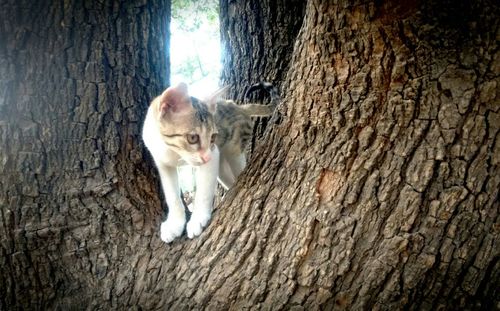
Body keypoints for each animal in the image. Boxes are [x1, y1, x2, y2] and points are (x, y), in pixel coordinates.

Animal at [143, 82, 280, 244]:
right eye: (193, 138)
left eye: (213, 137)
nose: (206, 158)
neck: (172, 151)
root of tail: (238, 107)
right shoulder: (163, 164)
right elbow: (172, 196)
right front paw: (175, 224)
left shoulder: (213, 154)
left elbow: (203, 191)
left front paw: (197, 220)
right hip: (222, 168)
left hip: (234, 150)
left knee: (240, 170)